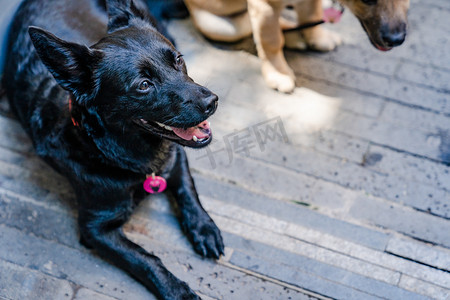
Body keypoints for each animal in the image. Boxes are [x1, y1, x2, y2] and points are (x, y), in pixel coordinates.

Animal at [1, 1, 223, 298]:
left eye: (177, 60)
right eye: (143, 85)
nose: (212, 102)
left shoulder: (176, 156)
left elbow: (188, 189)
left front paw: (204, 228)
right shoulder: (96, 230)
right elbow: (145, 259)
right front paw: (177, 290)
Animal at [185, 0, 410, 92]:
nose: (396, 39)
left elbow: (312, 14)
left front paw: (317, 37)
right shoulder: (264, 6)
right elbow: (271, 40)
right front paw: (278, 73)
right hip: (219, 26)